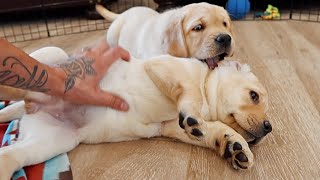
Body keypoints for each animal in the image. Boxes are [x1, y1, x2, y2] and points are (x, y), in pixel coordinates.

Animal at [0, 46, 272, 179]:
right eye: (254, 96)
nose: (269, 128)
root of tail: (29, 108)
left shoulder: (174, 126)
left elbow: (215, 129)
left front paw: (235, 148)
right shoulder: (167, 67)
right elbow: (191, 90)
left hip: (54, 141)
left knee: (10, 155)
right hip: (52, 55)